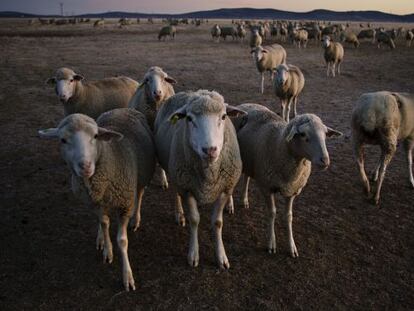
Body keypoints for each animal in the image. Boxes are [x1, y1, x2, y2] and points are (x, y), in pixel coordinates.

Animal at [38, 108, 156, 292]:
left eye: (95, 136)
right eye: (63, 140)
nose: (85, 166)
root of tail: (122, 109)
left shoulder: (124, 204)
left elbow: (122, 240)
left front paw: (127, 276)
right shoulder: (96, 203)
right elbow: (104, 223)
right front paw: (107, 249)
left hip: (142, 175)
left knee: (140, 194)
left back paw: (135, 219)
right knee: (102, 221)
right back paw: (100, 237)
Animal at [155, 89, 246, 268]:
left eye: (223, 116)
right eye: (189, 119)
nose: (209, 149)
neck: (208, 174)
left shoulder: (225, 188)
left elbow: (217, 223)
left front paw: (221, 256)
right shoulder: (186, 187)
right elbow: (194, 219)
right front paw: (193, 254)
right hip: (174, 171)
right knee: (175, 193)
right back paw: (179, 214)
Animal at [233, 105, 342, 258]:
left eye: (325, 134)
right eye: (303, 134)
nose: (325, 160)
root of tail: (244, 105)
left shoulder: (292, 190)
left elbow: (289, 217)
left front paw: (292, 247)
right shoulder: (267, 187)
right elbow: (272, 213)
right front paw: (271, 243)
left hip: (249, 162)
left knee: (246, 178)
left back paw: (244, 200)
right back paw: (229, 205)